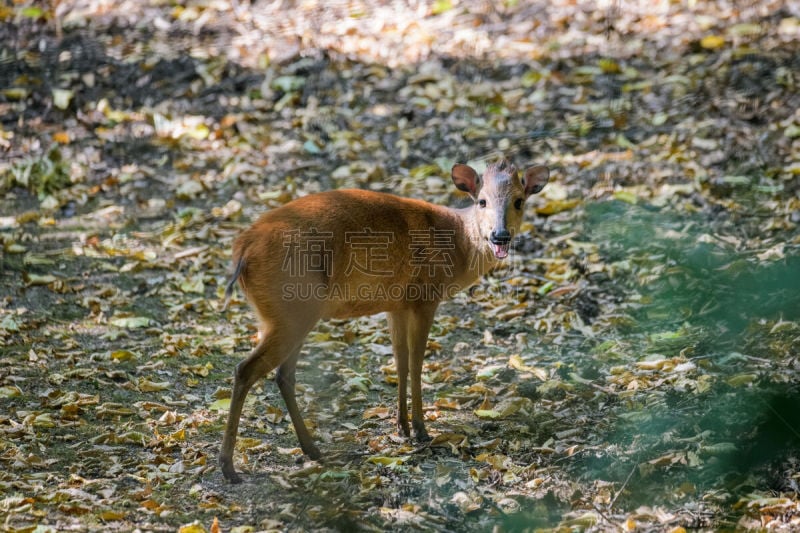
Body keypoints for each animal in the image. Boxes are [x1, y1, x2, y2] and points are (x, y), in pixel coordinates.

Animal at [225, 158, 552, 482]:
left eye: (519, 201)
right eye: (482, 201)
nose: (500, 235)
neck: (458, 243)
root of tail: (243, 251)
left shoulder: (397, 304)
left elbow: (400, 362)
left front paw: (402, 427)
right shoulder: (425, 297)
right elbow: (418, 364)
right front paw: (420, 430)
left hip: (292, 314)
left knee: (283, 374)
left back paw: (312, 449)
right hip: (292, 309)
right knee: (246, 369)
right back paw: (229, 466)